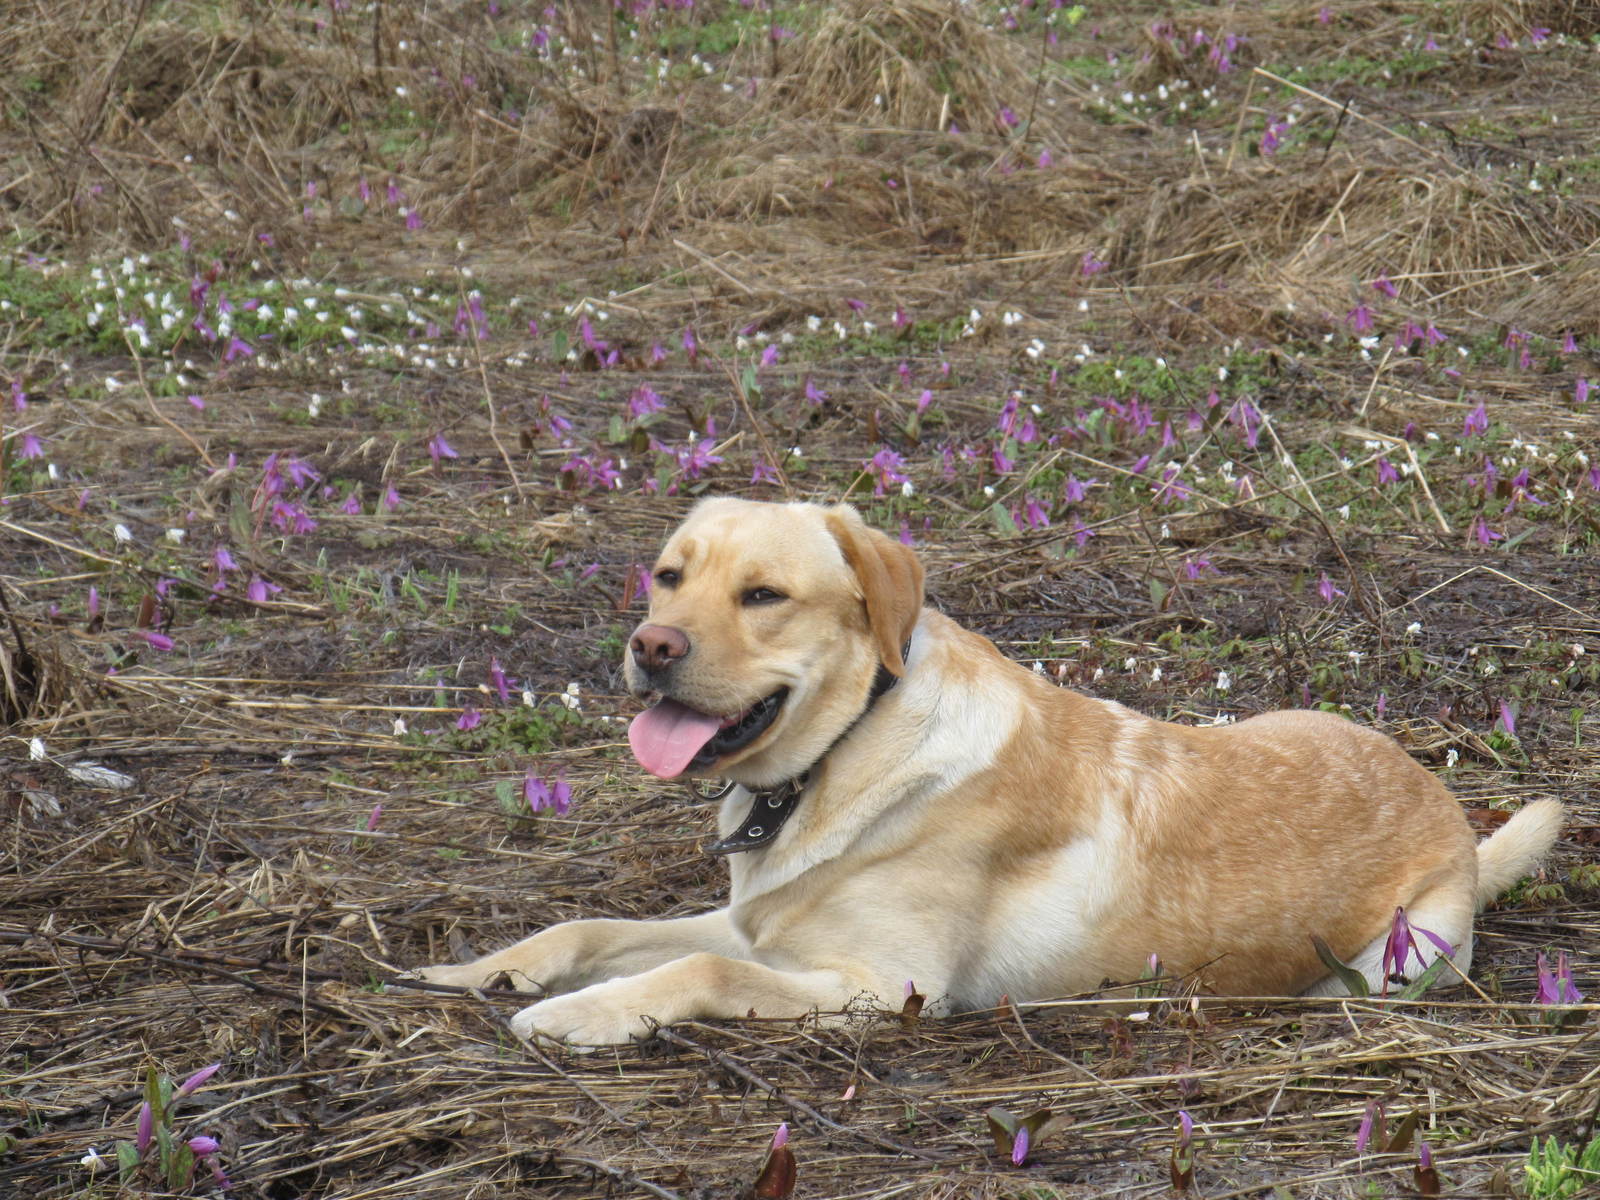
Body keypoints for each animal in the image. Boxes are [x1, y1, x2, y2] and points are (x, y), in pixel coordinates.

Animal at [419, 499, 1568, 1043]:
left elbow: (696, 972)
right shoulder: (760, 924)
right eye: (668, 575)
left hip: (1398, 961)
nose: (650, 645)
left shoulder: (882, 988)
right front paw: (476, 973)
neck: (848, 748)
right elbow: (591, 930)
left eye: (764, 595)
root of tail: (1449, 809)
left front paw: (571, 1016)